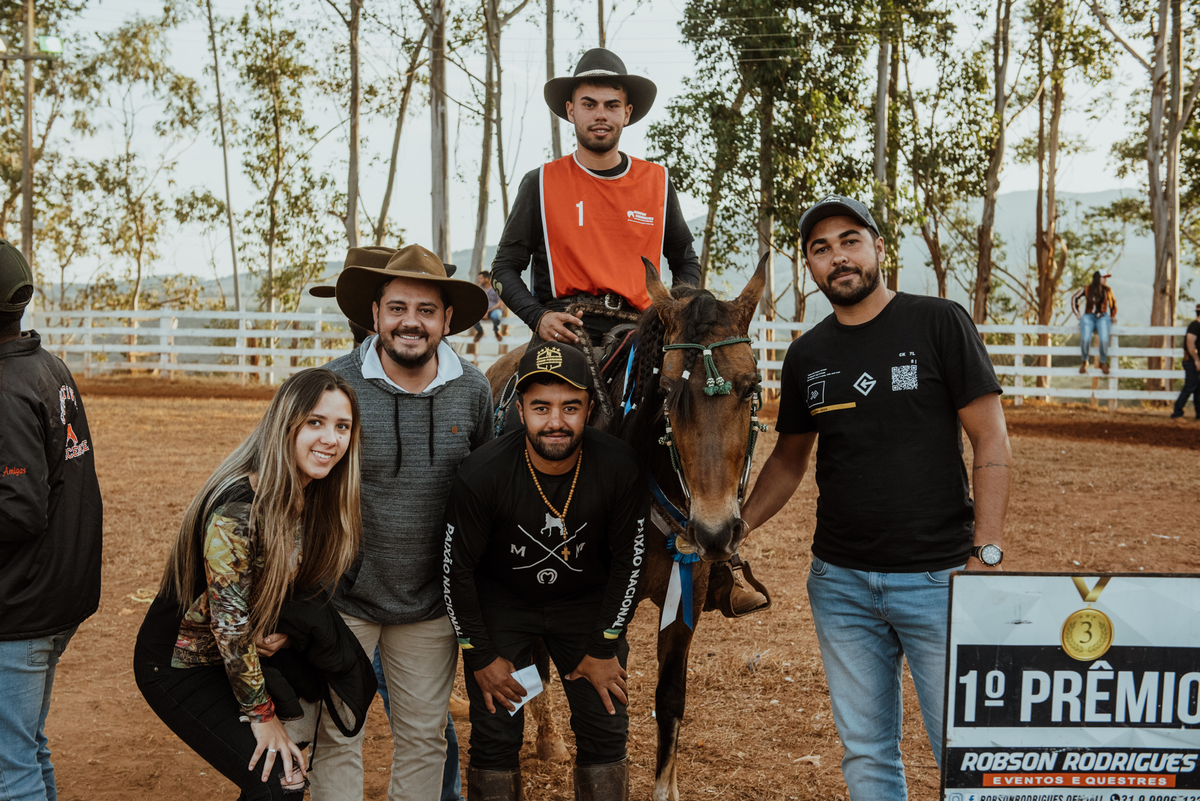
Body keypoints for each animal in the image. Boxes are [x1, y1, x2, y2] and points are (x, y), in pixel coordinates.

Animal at [483, 255, 768, 800]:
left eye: (750, 387)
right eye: (670, 389)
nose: (715, 531)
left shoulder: (688, 592)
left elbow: (670, 699)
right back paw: (547, 738)